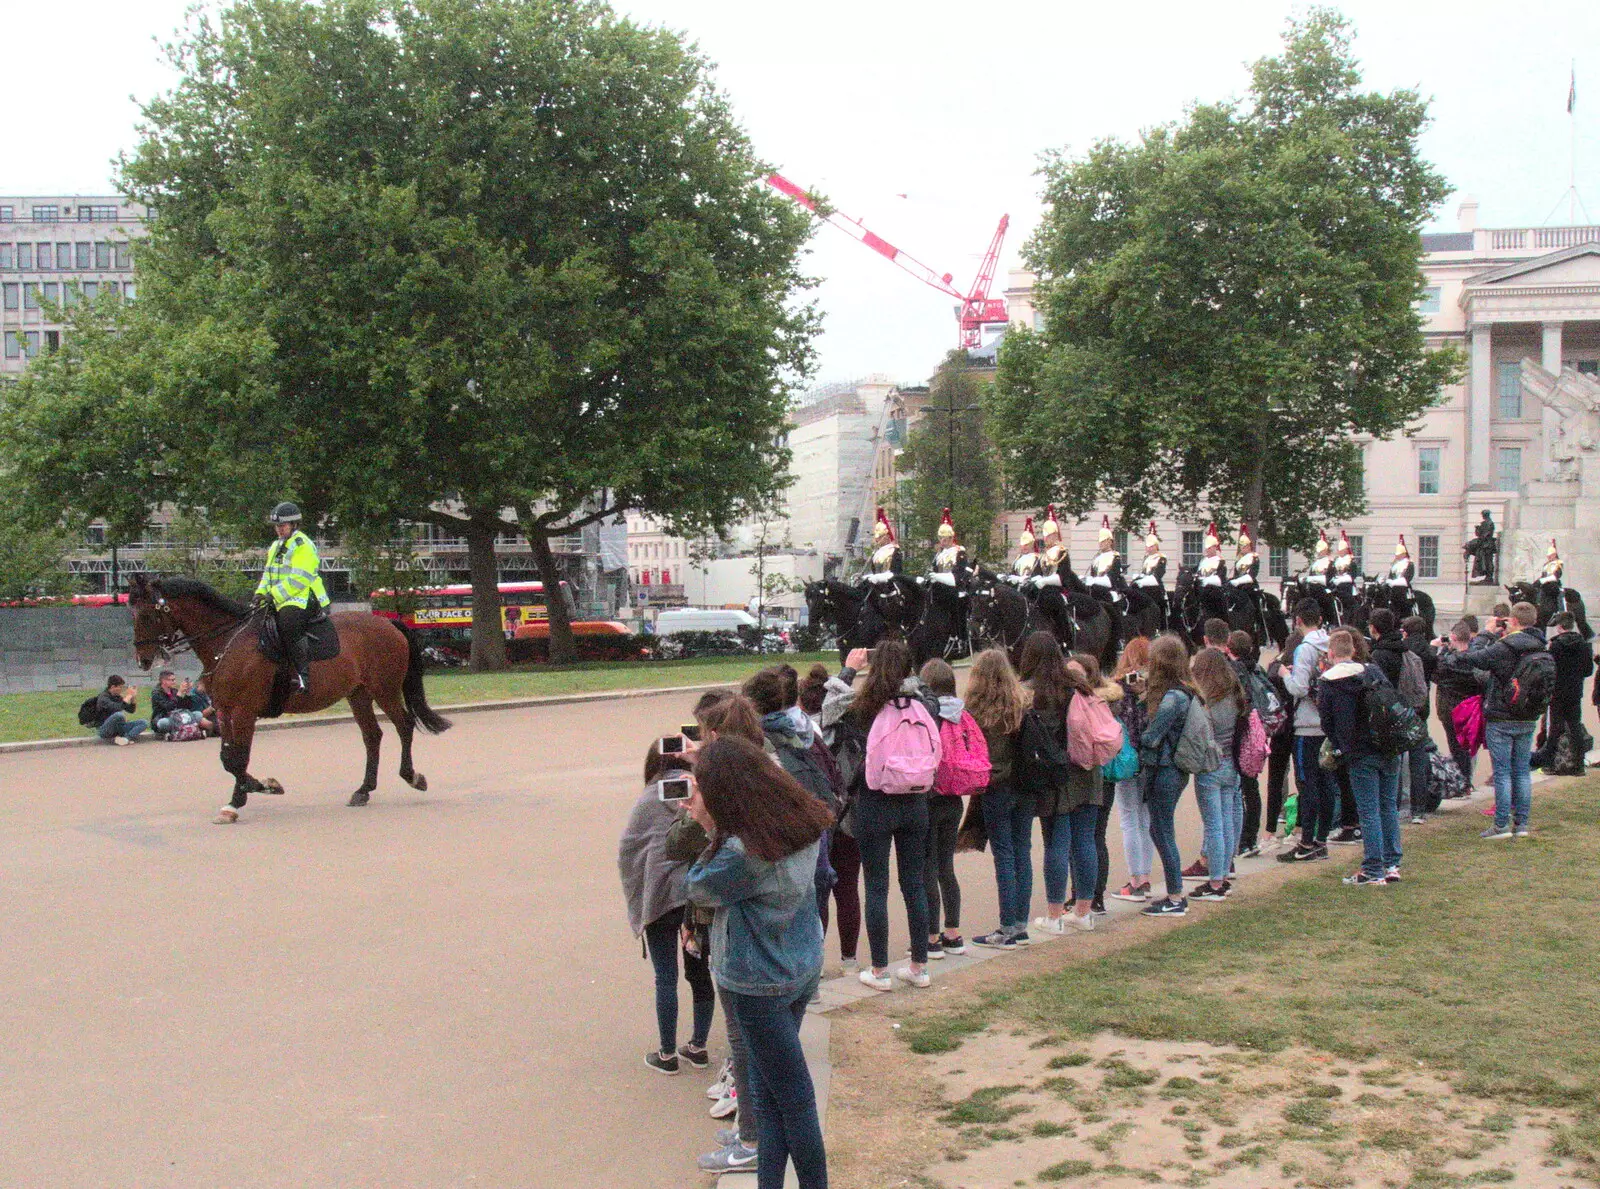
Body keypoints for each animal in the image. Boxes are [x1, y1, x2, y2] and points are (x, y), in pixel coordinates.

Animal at [122, 576, 451, 825]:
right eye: (132, 614)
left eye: (147, 614)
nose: (142, 659)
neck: (228, 643)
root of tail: (389, 624)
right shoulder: (225, 711)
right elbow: (228, 759)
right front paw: (255, 787)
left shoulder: (244, 712)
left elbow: (239, 758)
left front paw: (244, 796)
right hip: (358, 694)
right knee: (372, 736)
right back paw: (364, 789)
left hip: (385, 689)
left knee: (404, 725)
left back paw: (412, 776)